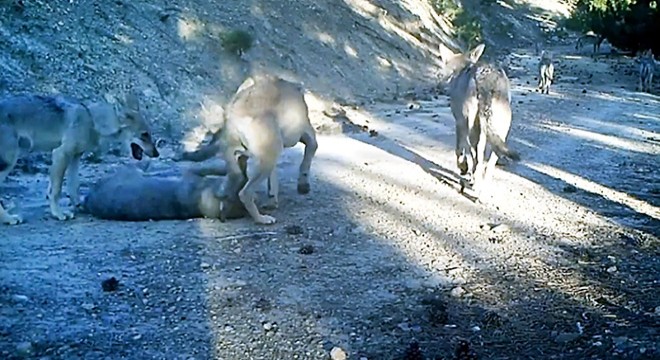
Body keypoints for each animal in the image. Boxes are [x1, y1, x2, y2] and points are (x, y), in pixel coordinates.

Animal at [0, 91, 160, 224]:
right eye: (144, 135)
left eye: (149, 134)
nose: (157, 154)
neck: (92, 120)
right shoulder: (61, 154)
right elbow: (56, 191)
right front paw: (58, 214)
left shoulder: (75, 157)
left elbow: (72, 186)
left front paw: (79, 205)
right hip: (10, 161)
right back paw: (8, 218)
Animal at [178, 74, 318, 224]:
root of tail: (235, 116)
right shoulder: (307, 134)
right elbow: (309, 153)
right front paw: (303, 185)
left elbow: (273, 179)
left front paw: (272, 199)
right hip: (267, 157)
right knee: (245, 193)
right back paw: (261, 219)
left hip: (242, 160)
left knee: (228, 187)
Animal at [438, 43, 520, 200]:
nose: (440, 76)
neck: (462, 69)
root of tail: (487, 79)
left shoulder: (460, 123)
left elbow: (460, 151)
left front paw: (464, 168)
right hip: (499, 133)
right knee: (489, 163)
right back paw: (483, 192)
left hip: (473, 129)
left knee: (478, 159)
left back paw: (476, 186)